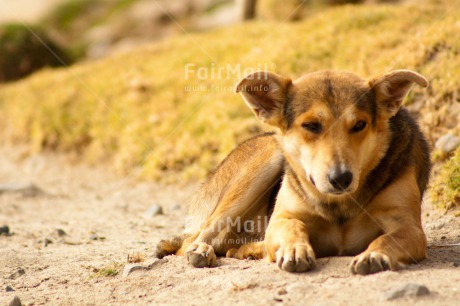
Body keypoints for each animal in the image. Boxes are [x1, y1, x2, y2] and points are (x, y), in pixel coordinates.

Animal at [156, 69, 430, 274]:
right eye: (311, 125)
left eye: (360, 124)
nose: (341, 179)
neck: (338, 204)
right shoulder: (282, 218)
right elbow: (293, 226)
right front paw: (295, 249)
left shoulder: (410, 228)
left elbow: (387, 238)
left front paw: (374, 254)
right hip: (267, 159)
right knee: (195, 239)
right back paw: (203, 250)